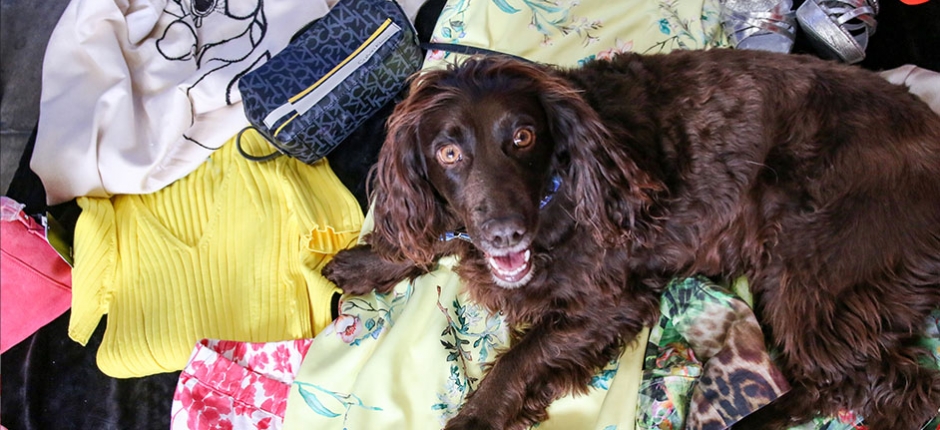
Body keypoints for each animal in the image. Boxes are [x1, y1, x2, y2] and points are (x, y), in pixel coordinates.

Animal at [324, 49, 940, 426]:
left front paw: (476, 418)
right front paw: (368, 263)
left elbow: (518, 359)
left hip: (812, 272)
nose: (504, 234)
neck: (557, 190)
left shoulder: (611, 302)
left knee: (890, 387)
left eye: (523, 136)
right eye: (448, 152)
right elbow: (436, 234)